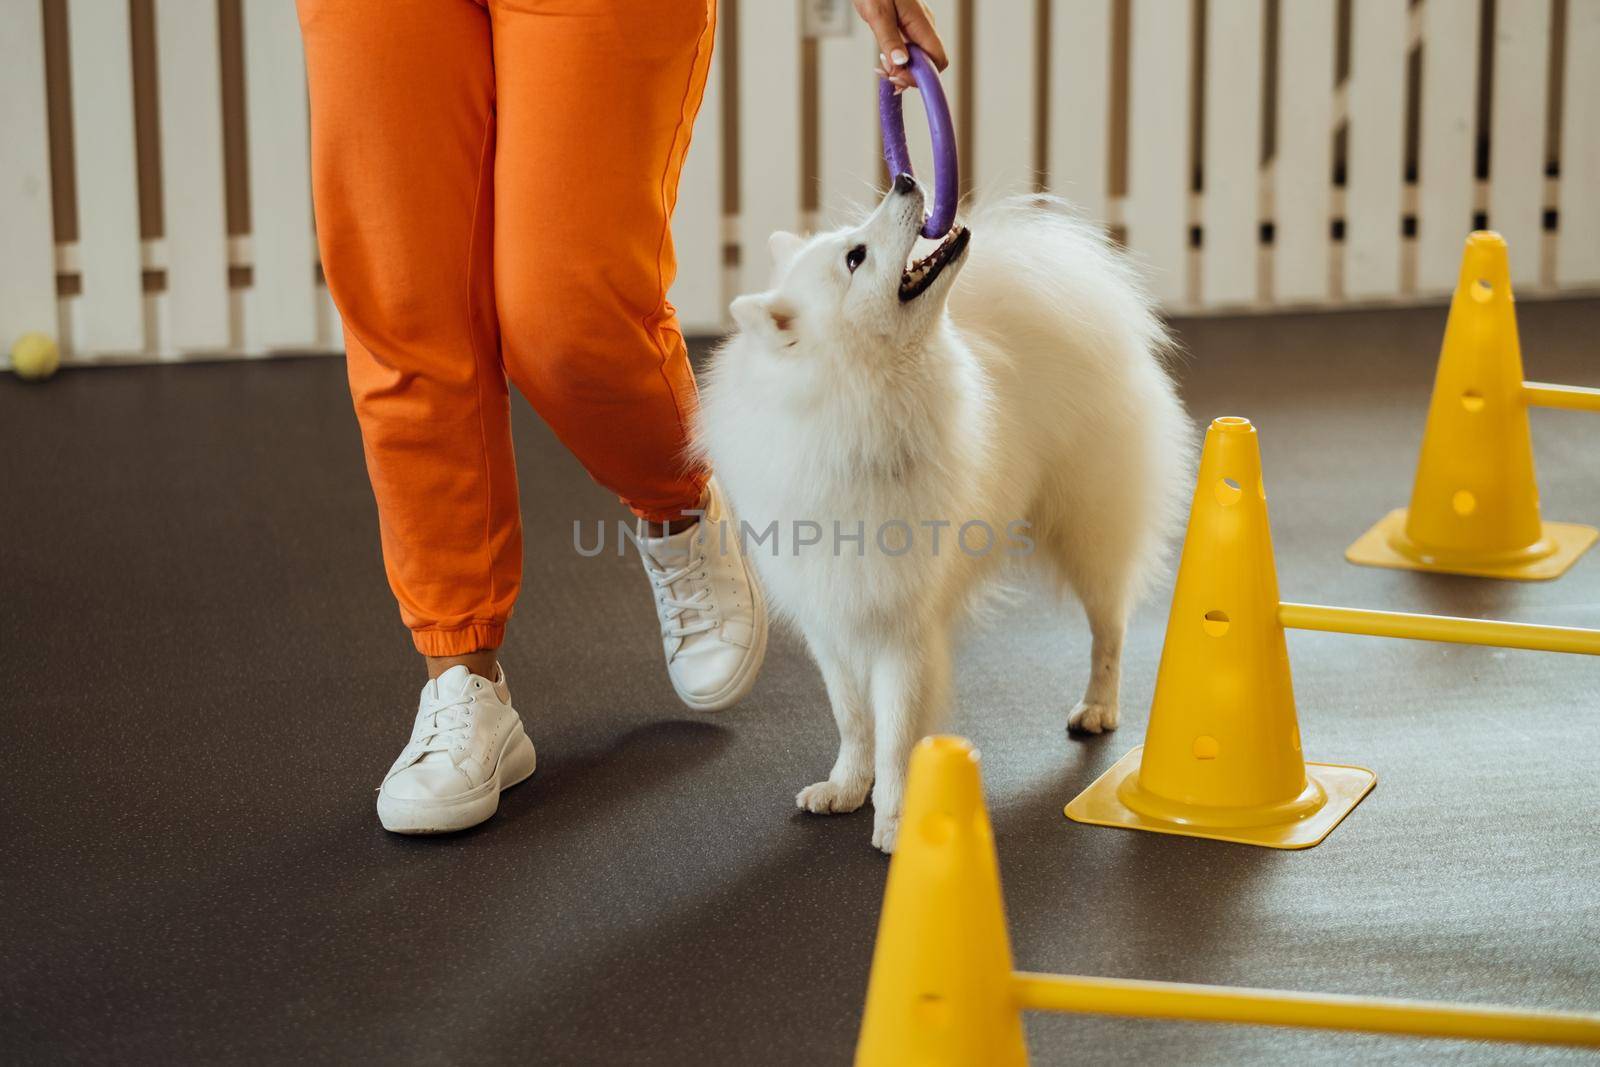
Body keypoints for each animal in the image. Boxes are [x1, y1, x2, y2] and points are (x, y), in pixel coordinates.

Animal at [694, 177, 1196, 857]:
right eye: (855, 256)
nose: (906, 180)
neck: (857, 412)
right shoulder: (832, 616)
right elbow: (854, 719)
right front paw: (845, 787)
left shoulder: (904, 629)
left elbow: (897, 732)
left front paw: (896, 820)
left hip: (1087, 528)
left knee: (1109, 629)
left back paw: (1098, 707)